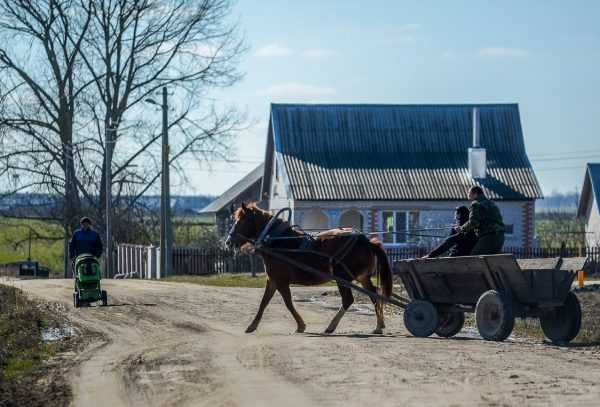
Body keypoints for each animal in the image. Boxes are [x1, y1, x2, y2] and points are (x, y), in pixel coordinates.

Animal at [225, 203, 394, 334]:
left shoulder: (281, 281)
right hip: (362, 277)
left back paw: (331, 326)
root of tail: (366, 241)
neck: (277, 241)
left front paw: (301, 325)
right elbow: (264, 302)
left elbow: (288, 302)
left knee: (348, 300)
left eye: (241, 220)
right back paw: (379, 326)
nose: (228, 242)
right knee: (374, 294)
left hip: (343, 277)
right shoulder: (272, 280)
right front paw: (252, 326)